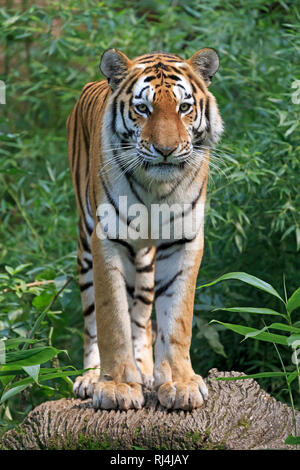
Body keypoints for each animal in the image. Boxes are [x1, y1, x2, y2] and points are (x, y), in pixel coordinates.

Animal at [67, 46, 223, 410]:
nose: (166, 150)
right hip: (85, 247)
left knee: (141, 316)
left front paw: (179, 383)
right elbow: (112, 319)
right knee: (92, 320)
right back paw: (91, 377)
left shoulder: (183, 240)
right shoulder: (107, 239)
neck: (157, 189)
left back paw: (146, 371)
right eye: (143, 108)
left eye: (184, 107)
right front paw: (116, 387)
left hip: (145, 261)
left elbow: (176, 318)